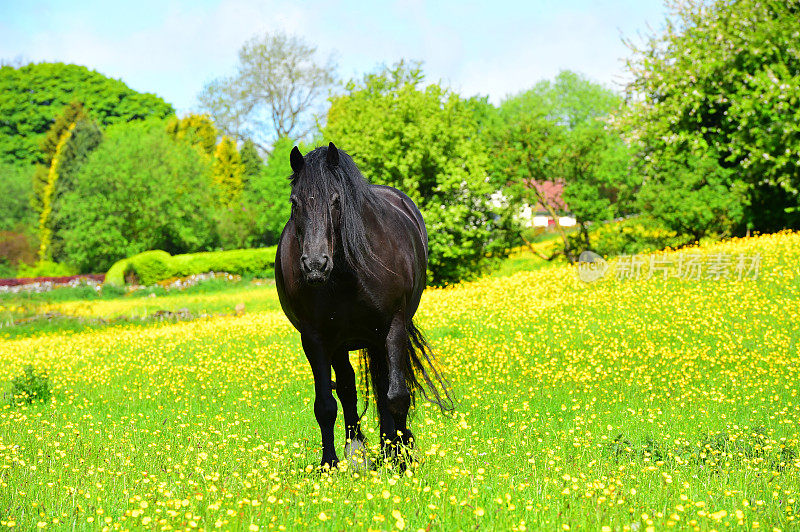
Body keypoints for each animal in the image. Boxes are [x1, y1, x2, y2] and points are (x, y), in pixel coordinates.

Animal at [276, 143, 450, 468]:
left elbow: (396, 395)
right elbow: (326, 405)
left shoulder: (393, 328)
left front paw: (402, 459)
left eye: (336, 200)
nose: (315, 265)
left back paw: (391, 447)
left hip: (379, 337)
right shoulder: (316, 339)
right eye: (295, 202)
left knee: (384, 387)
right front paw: (329, 464)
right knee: (347, 389)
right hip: (342, 344)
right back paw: (358, 451)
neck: (345, 275)